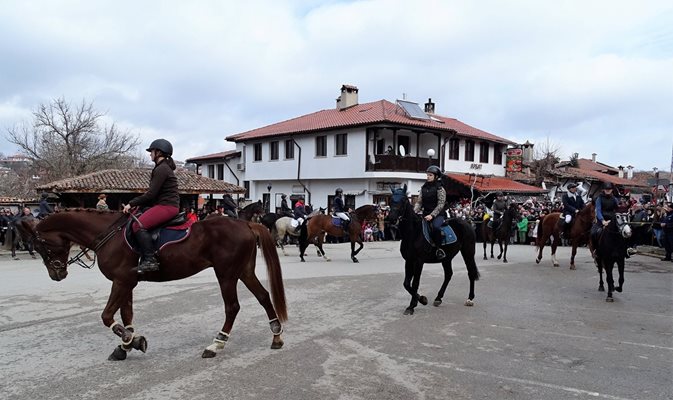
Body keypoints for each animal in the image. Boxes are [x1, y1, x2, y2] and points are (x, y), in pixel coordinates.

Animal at [21, 209, 286, 360]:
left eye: (40, 245)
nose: (57, 274)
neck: (109, 234)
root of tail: (245, 223)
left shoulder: (121, 281)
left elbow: (107, 316)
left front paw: (132, 341)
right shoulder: (126, 282)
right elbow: (126, 314)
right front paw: (126, 344)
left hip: (226, 274)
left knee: (232, 307)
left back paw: (215, 345)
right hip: (244, 271)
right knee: (264, 296)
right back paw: (276, 337)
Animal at [384, 185, 478, 316]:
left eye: (403, 201)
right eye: (391, 200)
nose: (392, 219)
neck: (413, 233)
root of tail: (467, 223)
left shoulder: (419, 262)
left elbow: (415, 283)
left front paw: (414, 304)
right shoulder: (409, 261)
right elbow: (407, 284)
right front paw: (420, 300)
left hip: (468, 252)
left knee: (471, 273)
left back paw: (470, 298)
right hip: (446, 258)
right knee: (448, 274)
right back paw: (438, 298)